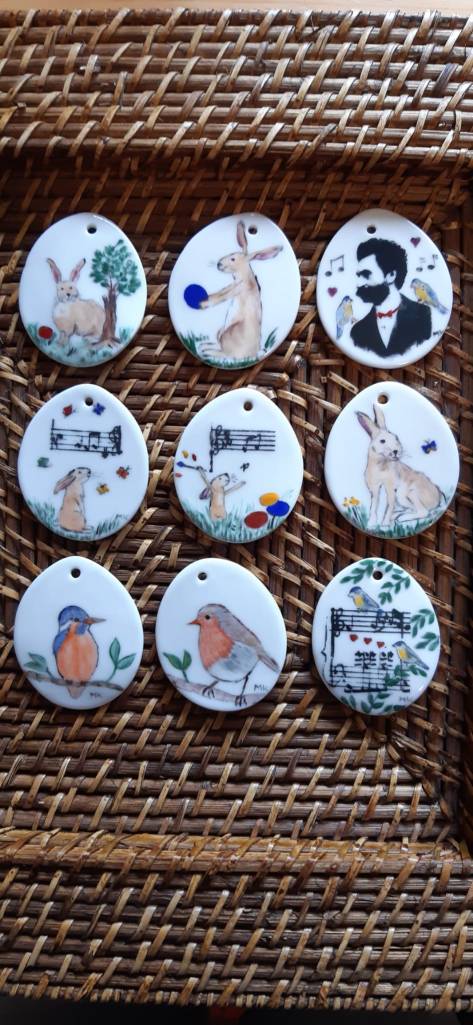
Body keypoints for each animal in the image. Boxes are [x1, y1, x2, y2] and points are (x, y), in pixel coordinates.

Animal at [198, 221, 283, 360]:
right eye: (230, 254)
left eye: (233, 259)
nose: (219, 264)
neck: (243, 277)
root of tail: (254, 353)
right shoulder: (232, 286)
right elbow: (220, 293)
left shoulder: (239, 288)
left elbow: (221, 297)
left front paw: (202, 303)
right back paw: (205, 346)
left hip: (230, 333)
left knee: (225, 353)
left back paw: (206, 351)